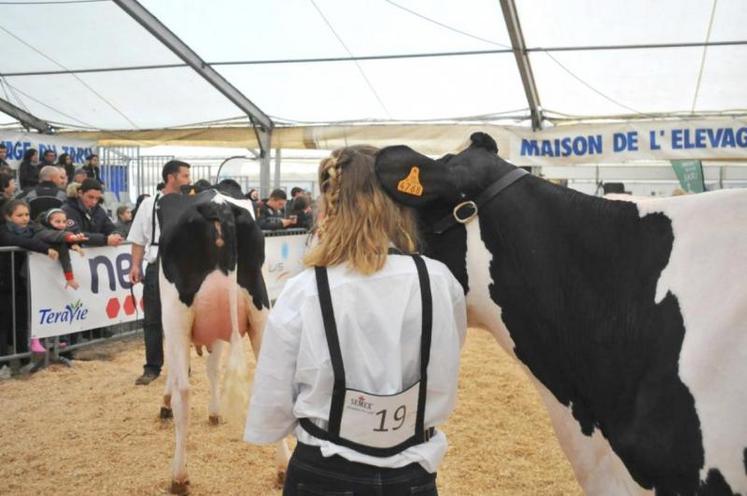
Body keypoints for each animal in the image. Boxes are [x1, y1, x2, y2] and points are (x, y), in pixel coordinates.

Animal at [158, 189, 290, 492]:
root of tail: (216, 204)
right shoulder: (218, 328)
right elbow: (213, 368)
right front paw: (215, 412)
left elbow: (176, 370)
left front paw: (166, 403)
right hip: (260, 306)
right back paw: (282, 468)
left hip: (176, 314)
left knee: (184, 391)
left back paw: (178, 476)